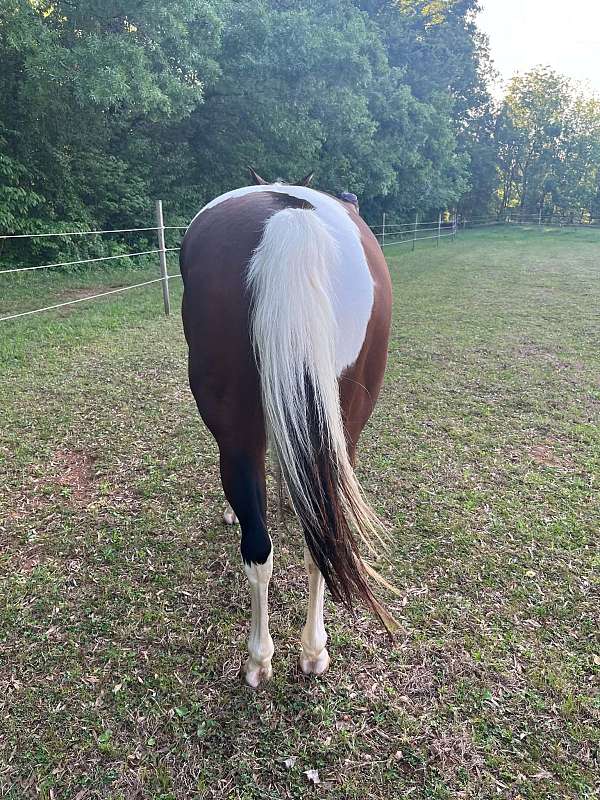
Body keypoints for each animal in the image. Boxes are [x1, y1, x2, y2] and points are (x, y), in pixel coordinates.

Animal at [180, 168, 396, 687]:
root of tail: (290, 222)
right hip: (346, 426)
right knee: (323, 534)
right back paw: (314, 651)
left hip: (235, 429)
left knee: (258, 550)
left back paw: (259, 659)